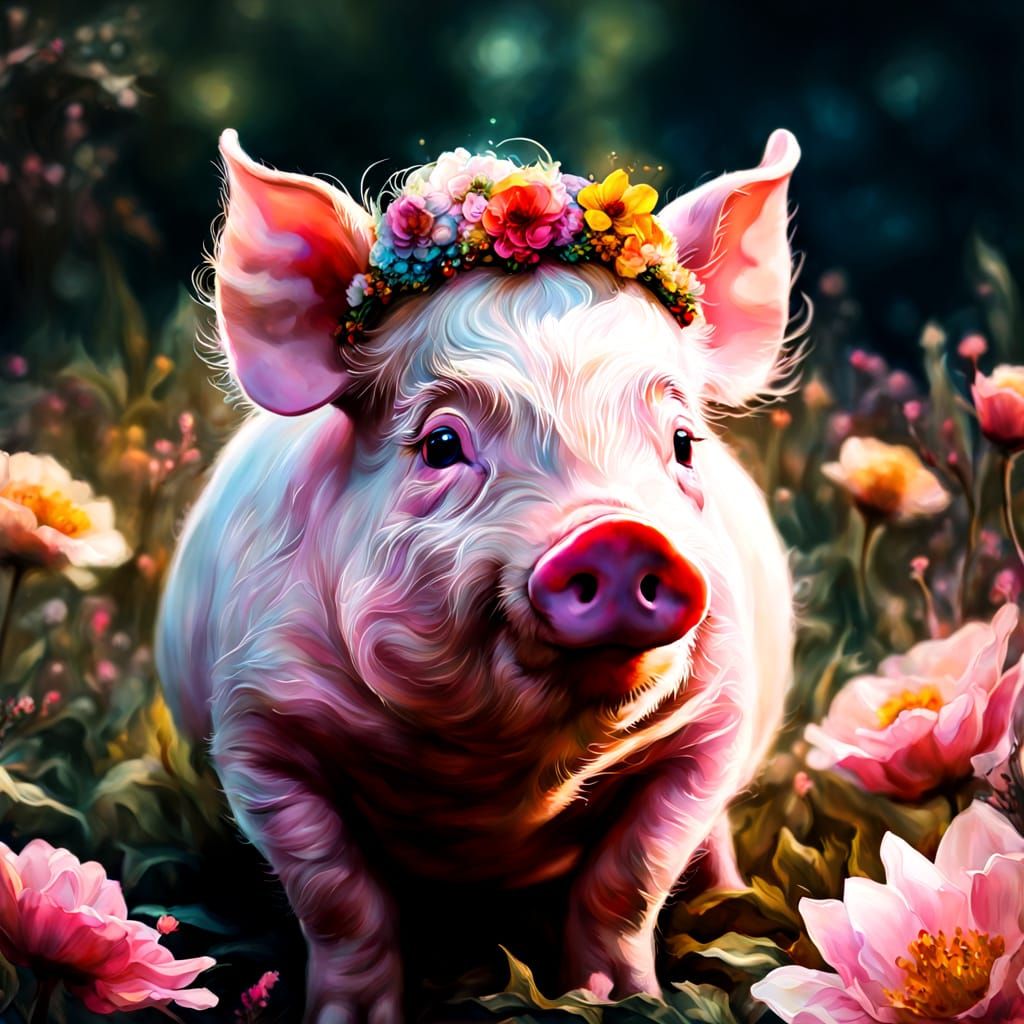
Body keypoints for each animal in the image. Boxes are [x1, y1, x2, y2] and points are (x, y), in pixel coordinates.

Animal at [156, 128, 799, 1024]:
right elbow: (338, 899)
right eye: (441, 444)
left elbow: (629, 881)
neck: (501, 781)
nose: (620, 535)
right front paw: (351, 1019)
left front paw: (618, 1001)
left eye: (681, 443)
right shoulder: (256, 729)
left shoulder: (716, 723)